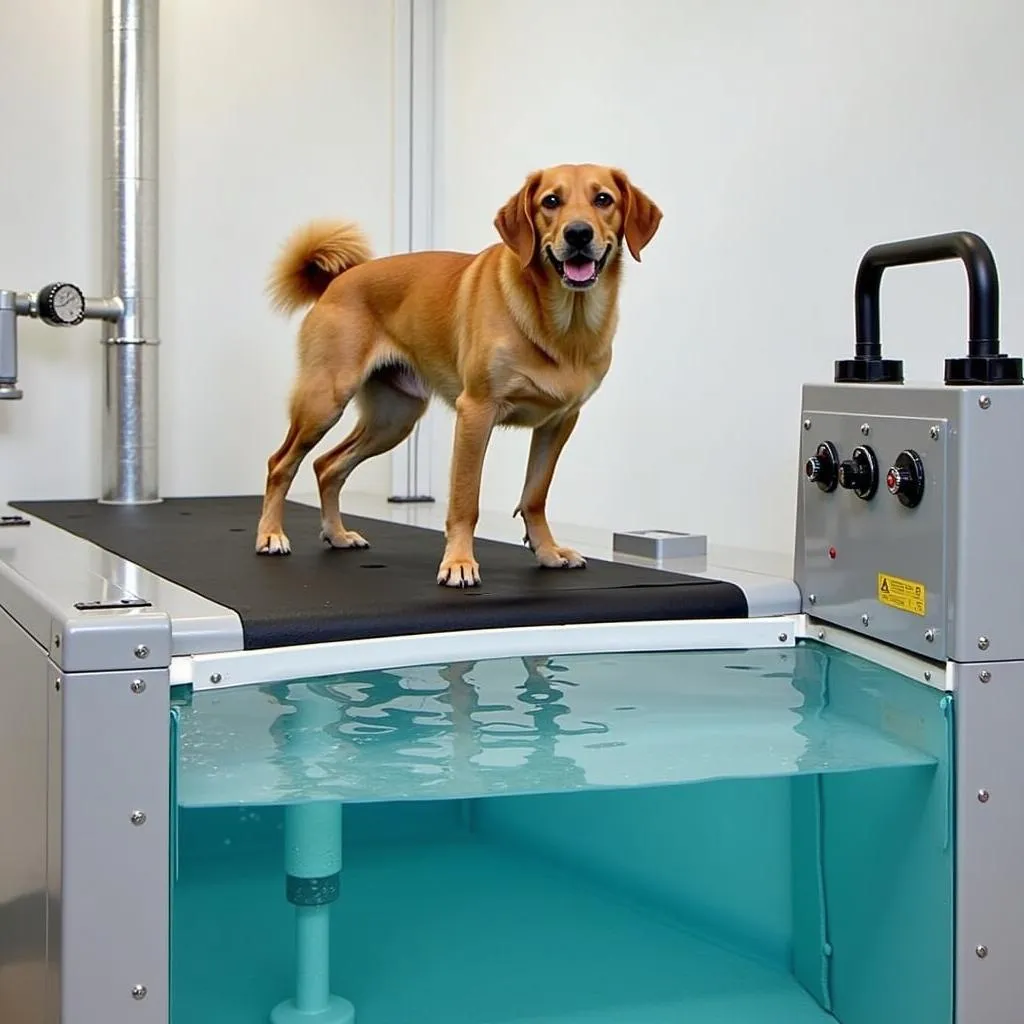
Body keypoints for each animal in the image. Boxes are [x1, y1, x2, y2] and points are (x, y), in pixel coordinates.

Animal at [251, 163, 659, 589]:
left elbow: (534, 495)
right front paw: (459, 562)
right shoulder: (476, 412)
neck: (563, 324)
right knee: (281, 464)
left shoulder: (559, 422)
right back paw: (271, 535)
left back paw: (337, 533)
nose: (578, 233)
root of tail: (336, 282)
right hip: (324, 402)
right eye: (551, 201)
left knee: (327, 466)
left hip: (393, 420)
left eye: (603, 199)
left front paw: (547, 551)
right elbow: (465, 500)